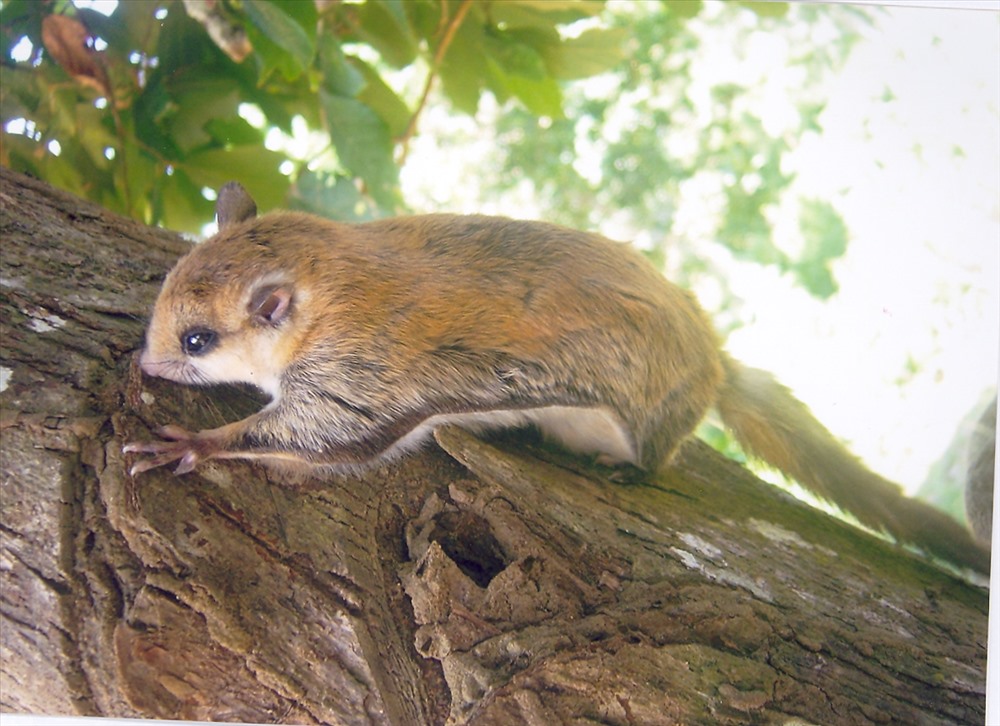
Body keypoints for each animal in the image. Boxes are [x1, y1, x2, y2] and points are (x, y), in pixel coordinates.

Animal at [125, 182, 992, 576]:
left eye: (198, 340)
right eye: (163, 293)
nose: (147, 361)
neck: (333, 277)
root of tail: (712, 359)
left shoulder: (361, 379)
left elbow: (312, 438)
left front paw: (193, 444)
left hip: (644, 420)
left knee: (658, 452)